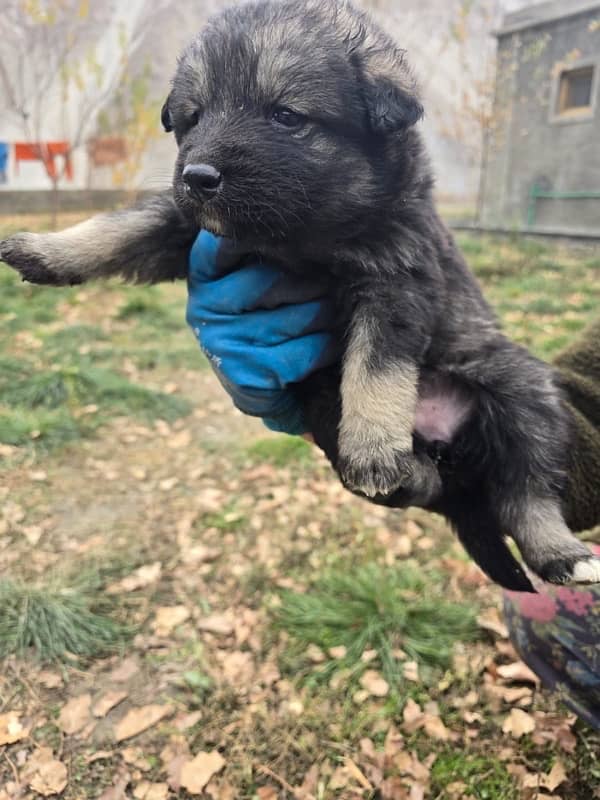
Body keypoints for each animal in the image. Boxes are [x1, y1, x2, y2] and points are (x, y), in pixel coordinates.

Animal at [1, 0, 600, 592]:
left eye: (286, 116)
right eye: (194, 117)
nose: (197, 176)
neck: (303, 236)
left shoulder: (396, 281)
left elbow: (377, 367)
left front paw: (374, 447)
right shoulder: (186, 227)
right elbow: (123, 228)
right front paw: (47, 251)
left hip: (522, 390)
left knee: (526, 491)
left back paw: (561, 553)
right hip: (323, 397)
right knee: (438, 486)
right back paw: (414, 471)